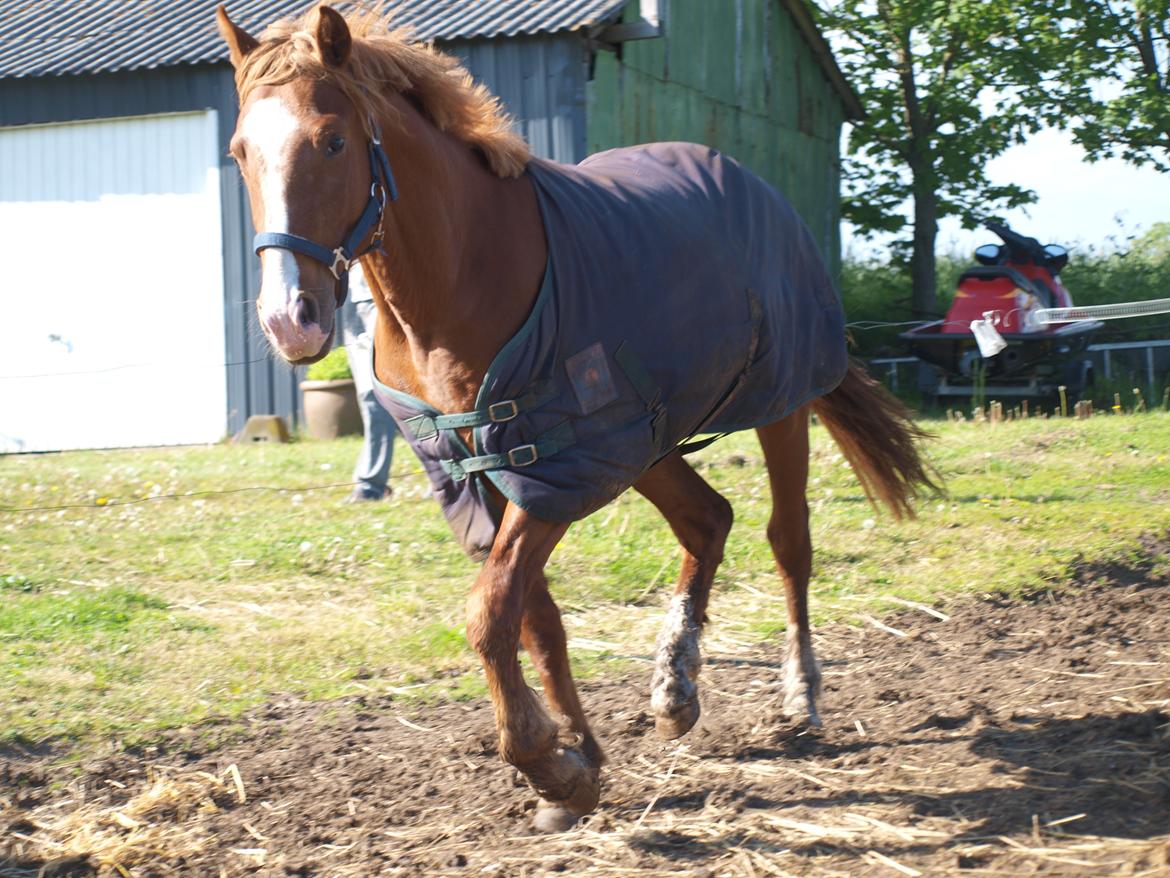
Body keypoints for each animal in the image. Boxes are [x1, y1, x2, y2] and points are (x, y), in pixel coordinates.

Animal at [217, 5, 931, 833]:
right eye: (239, 152)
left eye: (332, 140)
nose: (289, 320)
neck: (461, 275)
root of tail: (756, 185)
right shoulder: (482, 475)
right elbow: (535, 618)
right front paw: (578, 762)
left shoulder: (551, 468)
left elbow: (492, 613)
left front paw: (546, 765)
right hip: (648, 439)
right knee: (707, 520)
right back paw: (675, 688)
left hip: (774, 407)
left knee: (789, 542)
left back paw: (800, 696)